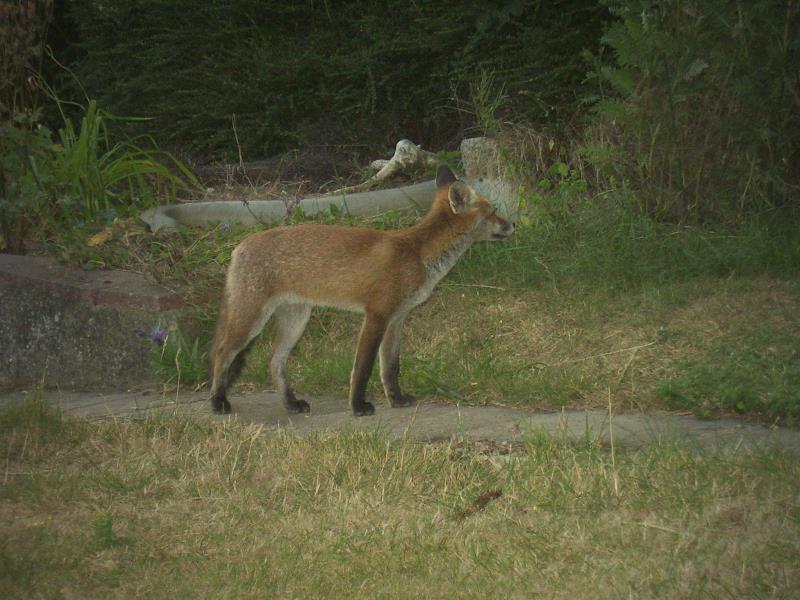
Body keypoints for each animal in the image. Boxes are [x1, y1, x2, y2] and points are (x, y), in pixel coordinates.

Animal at [209, 164, 516, 418]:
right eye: (492, 211)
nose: (513, 224)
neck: (417, 253)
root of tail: (239, 247)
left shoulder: (397, 319)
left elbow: (390, 368)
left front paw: (396, 400)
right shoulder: (377, 315)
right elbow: (363, 368)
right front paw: (358, 407)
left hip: (296, 320)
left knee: (274, 362)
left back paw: (291, 404)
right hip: (251, 321)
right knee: (222, 354)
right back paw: (217, 402)